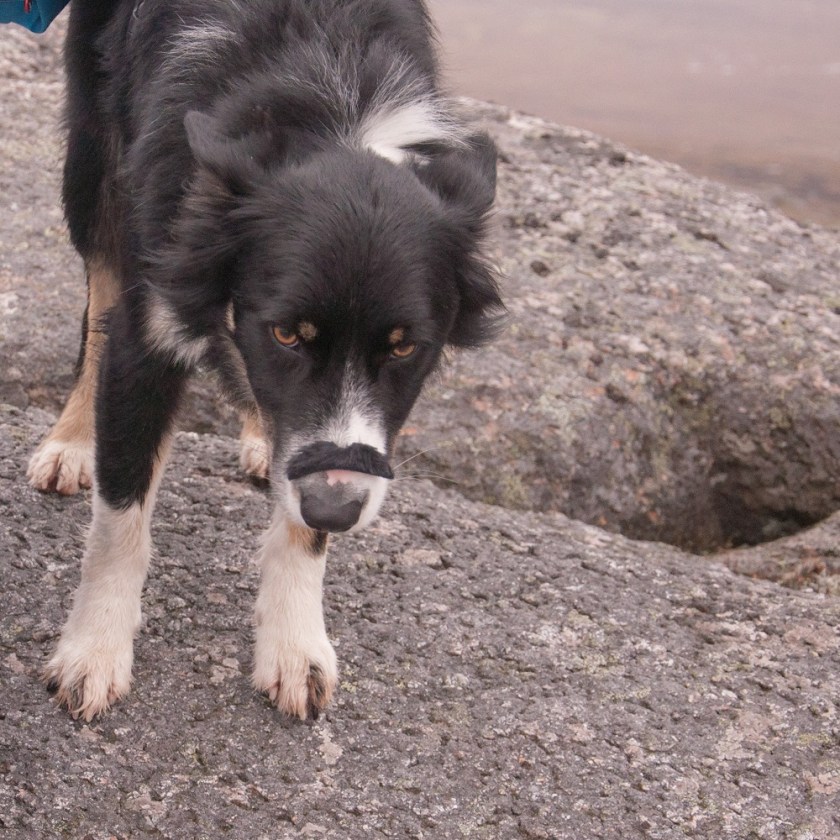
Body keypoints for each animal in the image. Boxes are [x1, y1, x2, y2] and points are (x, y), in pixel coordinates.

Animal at [28, 0, 501, 721]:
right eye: (285, 335)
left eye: (403, 346)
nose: (337, 511)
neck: (331, 102)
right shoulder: (157, 299)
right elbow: (121, 513)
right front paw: (93, 654)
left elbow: (305, 520)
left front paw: (294, 648)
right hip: (94, 154)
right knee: (98, 294)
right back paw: (72, 443)